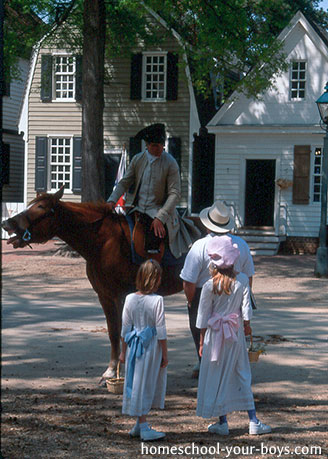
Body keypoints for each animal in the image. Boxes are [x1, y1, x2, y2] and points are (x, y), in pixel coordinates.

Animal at [2, 187, 186, 380]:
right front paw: (112, 369)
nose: (6, 223)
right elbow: (113, 332)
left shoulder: (117, 295)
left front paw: (116, 370)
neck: (104, 242)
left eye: (41, 207)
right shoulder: (104, 296)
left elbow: (120, 332)